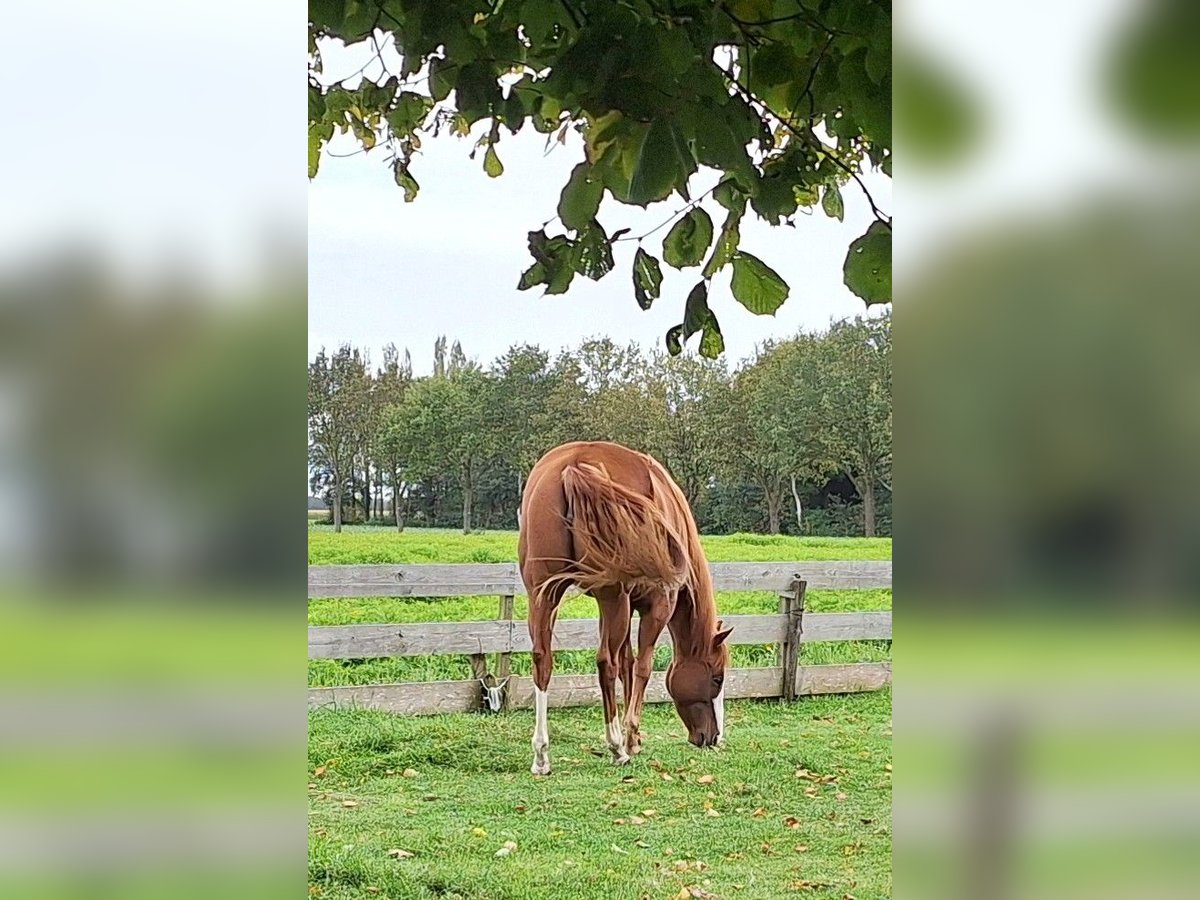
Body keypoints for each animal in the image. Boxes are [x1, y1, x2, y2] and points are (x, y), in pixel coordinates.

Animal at [516, 441, 729, 777]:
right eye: (717, 678)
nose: (714, 737)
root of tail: (574, 464)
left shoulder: (625, 608)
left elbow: (627, 663)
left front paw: (635, 739)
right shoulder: (657, 605)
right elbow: (641, 667)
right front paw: (631, 737)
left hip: (544, 593)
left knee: (543, 660)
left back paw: (541, 754)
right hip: (611, 595)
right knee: (605, 662)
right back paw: (616, 747)